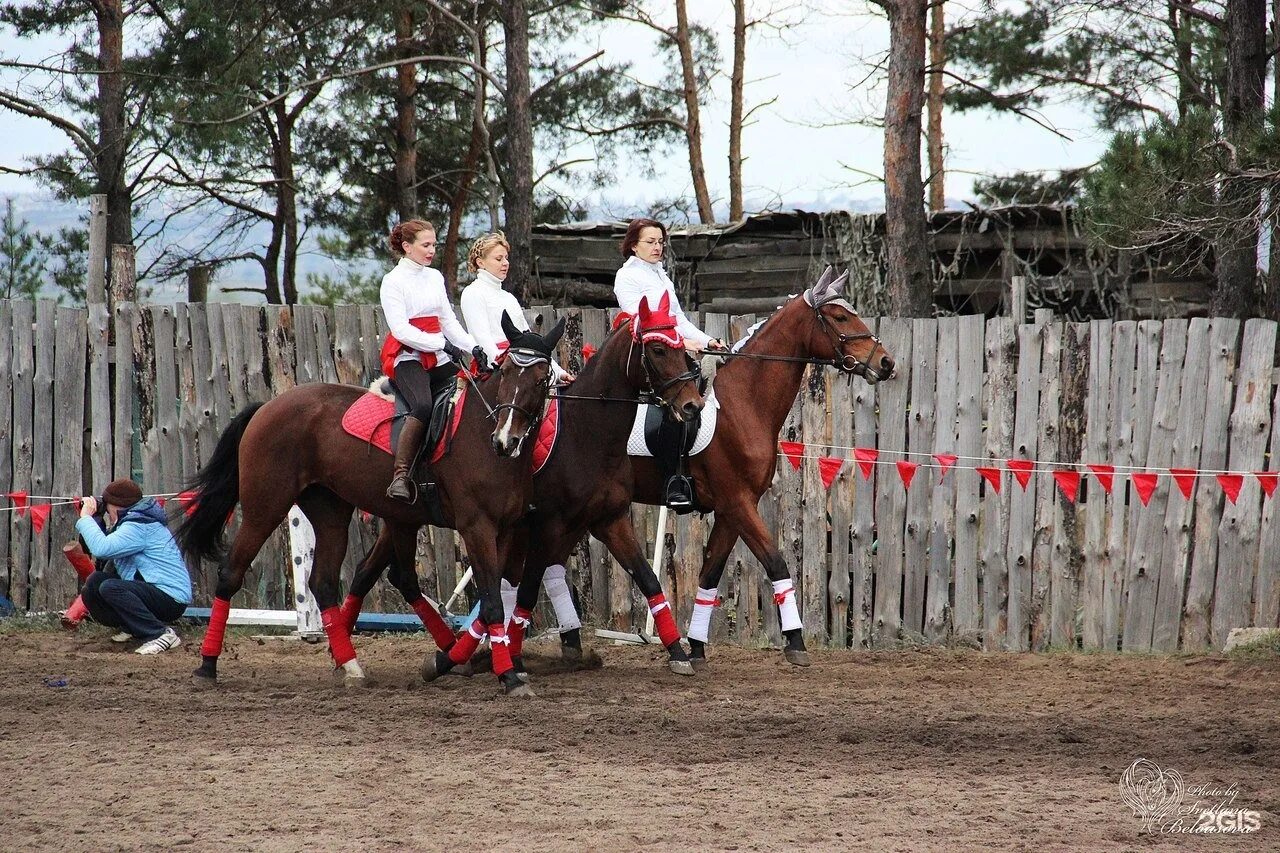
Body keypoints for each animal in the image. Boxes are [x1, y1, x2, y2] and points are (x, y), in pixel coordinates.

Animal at [177, 315, 568, 696]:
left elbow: (491, 603)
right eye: (507, 372)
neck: (482, 440)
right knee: (231, 572)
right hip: (266, 506)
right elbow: (491, 602)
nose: (505, 440)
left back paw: (351, 665)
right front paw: (508, 677)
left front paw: (449, 661)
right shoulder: (477, 528)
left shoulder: (504, 530)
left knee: (324, 583)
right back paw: (206, 666)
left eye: (540, 379)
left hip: (331, 513)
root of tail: (269, 406)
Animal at [340, 292, 711, 686]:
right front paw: (509, 660)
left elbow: (648, 580)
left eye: (680, 348)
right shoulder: (547, 527)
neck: (587, 435)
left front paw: (678, 654)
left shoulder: (609, 521)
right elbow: (526, 593)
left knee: (375, 572)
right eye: (657, 349)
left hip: (408, 517)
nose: (692, 405)